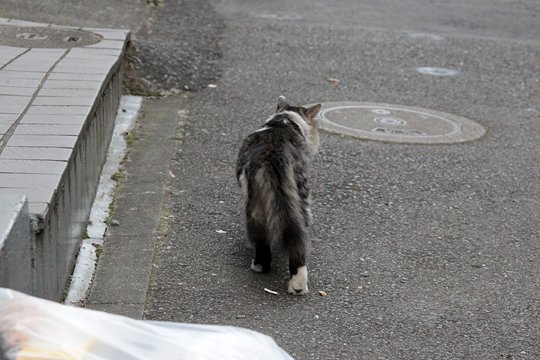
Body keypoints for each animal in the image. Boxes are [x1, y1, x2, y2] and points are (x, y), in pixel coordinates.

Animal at [236, 96, 320, 296]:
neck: (284, 121)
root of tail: (275, 156)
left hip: (256, 204)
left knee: (263, 238)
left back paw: (259, 266)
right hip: (298, 197)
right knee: (297, 235)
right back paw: (297, 285)